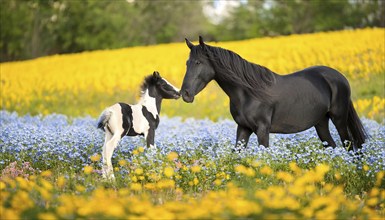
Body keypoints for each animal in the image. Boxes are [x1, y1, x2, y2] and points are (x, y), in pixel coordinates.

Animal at [180, 37, 366, 151]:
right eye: (187, 63)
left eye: (198, 62)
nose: (185, 94)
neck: (249, 94)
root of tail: (339, 77)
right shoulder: (243, 128)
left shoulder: (263, 130)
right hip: (321, 123)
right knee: (333, 148)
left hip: (339, 119)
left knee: (350, 147)